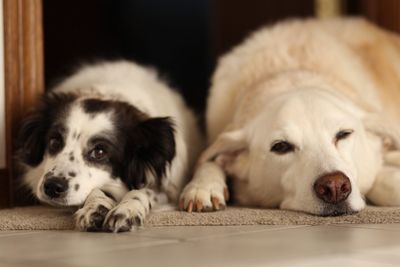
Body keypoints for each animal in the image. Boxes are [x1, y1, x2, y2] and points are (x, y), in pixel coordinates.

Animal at [17, 60, 203, 232]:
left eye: (99, 151)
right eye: (54, 141)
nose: (52, 187)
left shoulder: (168, 190)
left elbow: (142, 191)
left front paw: (127, 210)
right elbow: (96, 191)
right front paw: (95, 208)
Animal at [180, 17, 400, 217]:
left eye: (344, 134)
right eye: (281, 147)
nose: (334, 186)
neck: (285, 72)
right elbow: (207, 161)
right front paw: (202, 186)